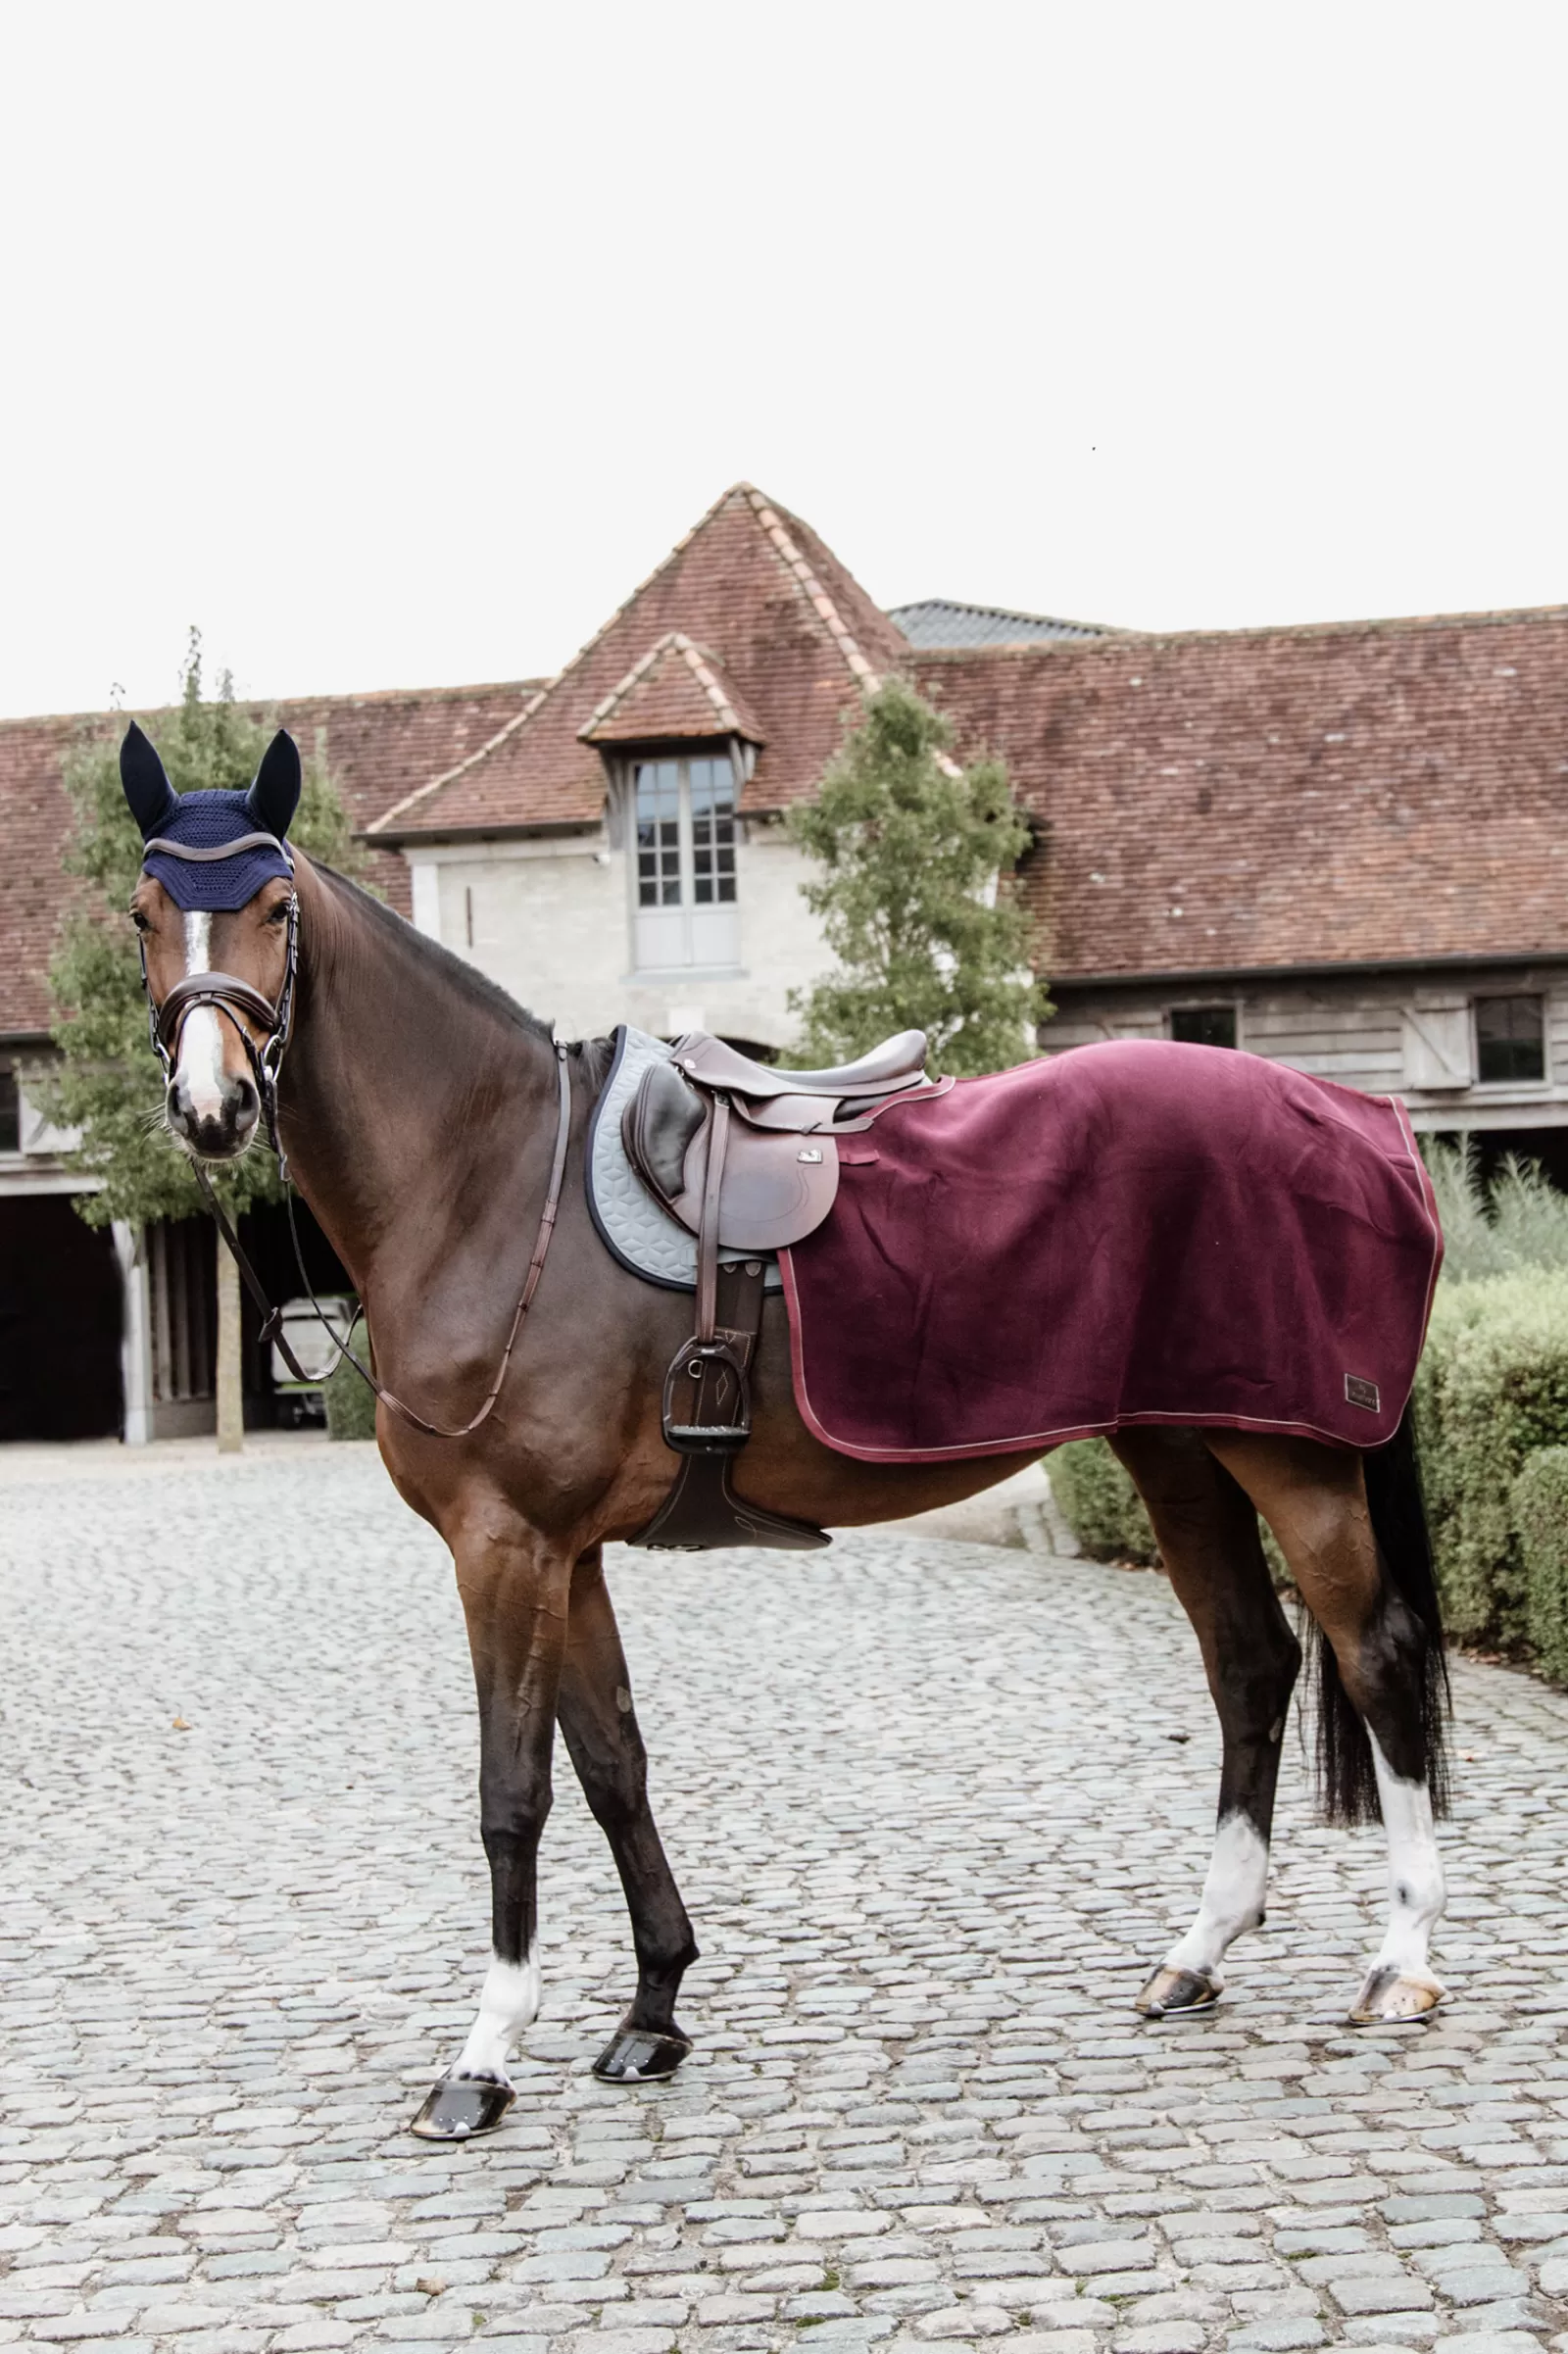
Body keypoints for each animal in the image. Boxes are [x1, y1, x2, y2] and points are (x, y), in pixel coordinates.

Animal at [119, 724, 1441, 2146]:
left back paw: (1402, 1961)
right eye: (144, 910)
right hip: (1182, 1450)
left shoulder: (503, 1545)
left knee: (1374, 1658)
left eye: (275, 907)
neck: (495, 1186)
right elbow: (614, 1764)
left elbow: (512, 1791)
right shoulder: (568, 1552)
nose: (211, 1106)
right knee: (1251, 1664)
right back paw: (1198, 1952)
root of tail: (1362, 1122)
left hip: (1294, 1459)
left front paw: (483, 2054)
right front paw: (652, 2009)